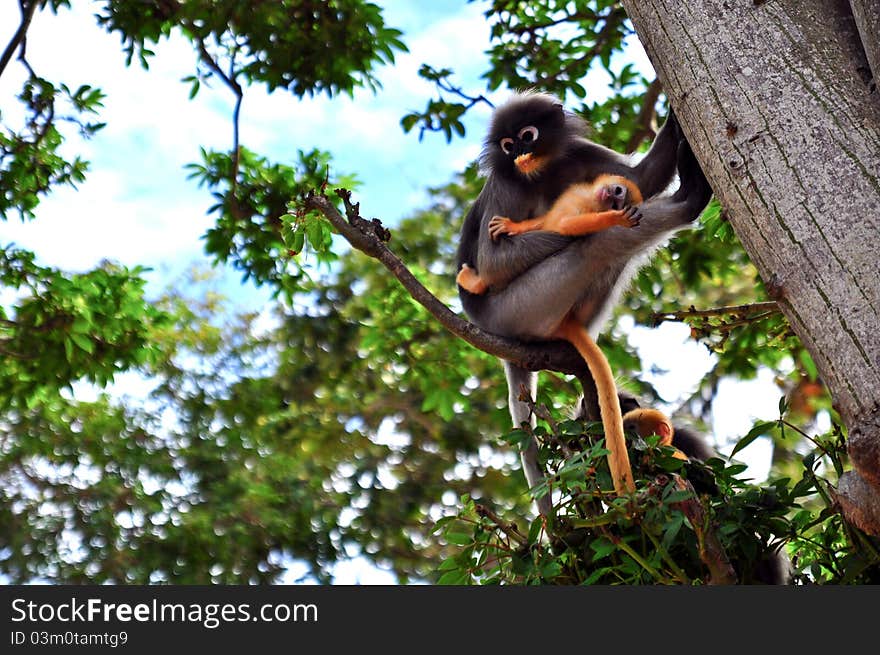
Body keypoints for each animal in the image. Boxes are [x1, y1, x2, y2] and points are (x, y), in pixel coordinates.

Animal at [458, 176, 644, 296]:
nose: (613, 195)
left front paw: (616, 218)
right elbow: (548, 219)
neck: (590, 198)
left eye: (615, 205)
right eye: (618, 191)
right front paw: (511, 226)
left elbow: (565, 225)